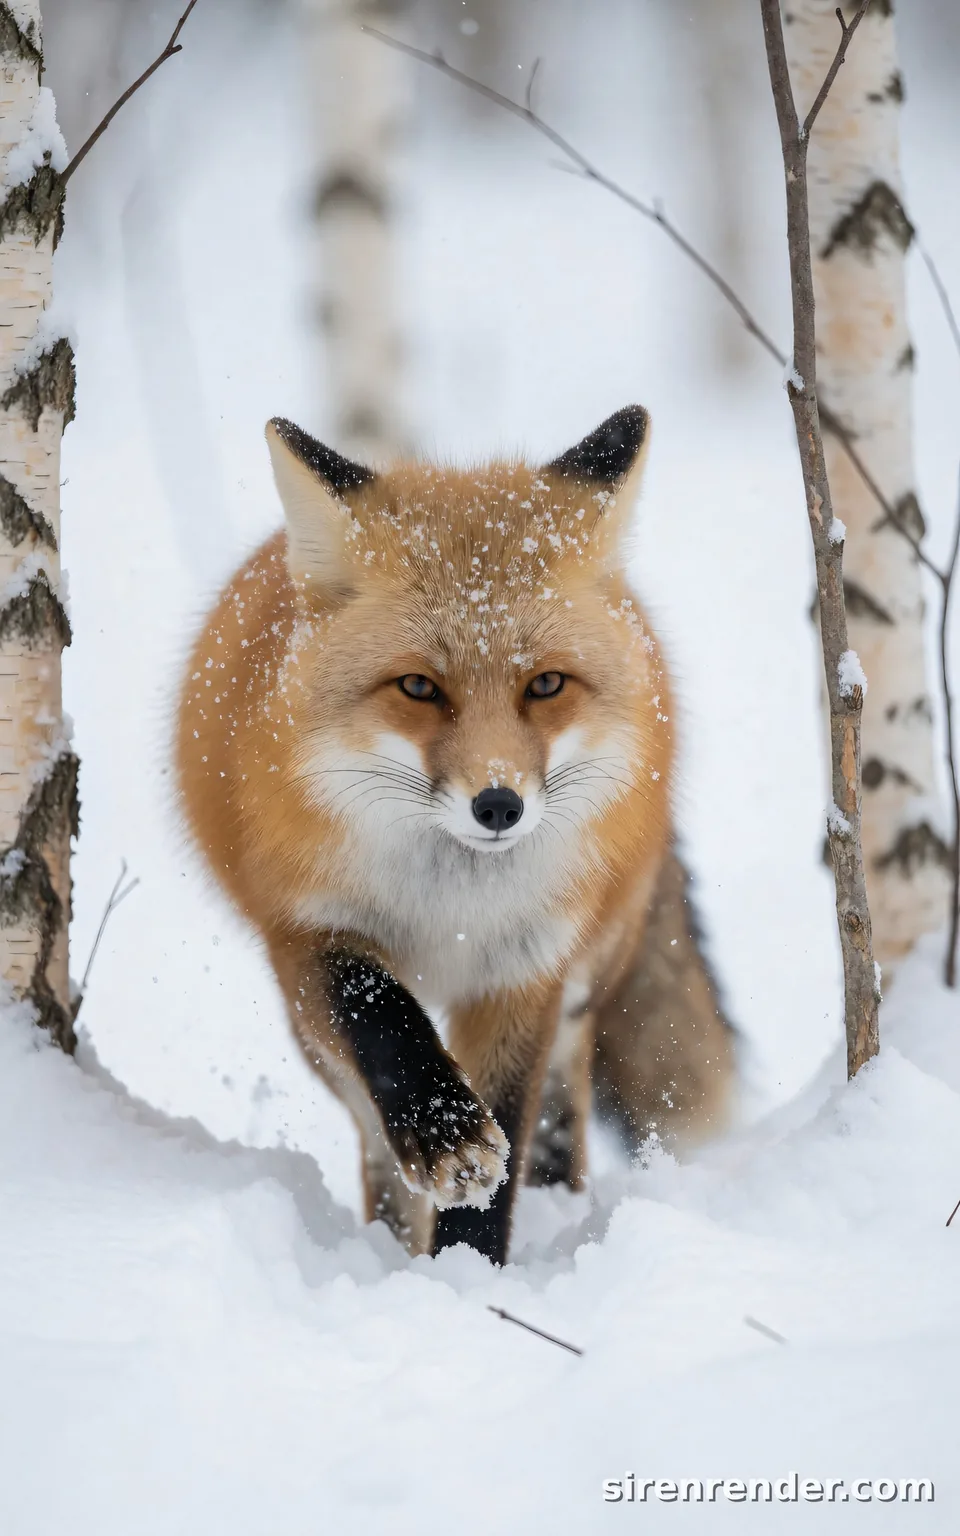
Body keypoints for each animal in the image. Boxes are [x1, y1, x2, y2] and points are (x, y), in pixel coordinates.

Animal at [175, 406, 733, 1264]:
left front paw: (470, 1266)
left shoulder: (523, 967)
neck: (452, 908)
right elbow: (382, 1018)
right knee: (371, 1129)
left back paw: (552, 1199)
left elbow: (508, 1112)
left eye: (546, 684)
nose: (498, 805)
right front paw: (443, 1140)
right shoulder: (306, 932)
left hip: (589, 972)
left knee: (563, 1100)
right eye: (417, 687)